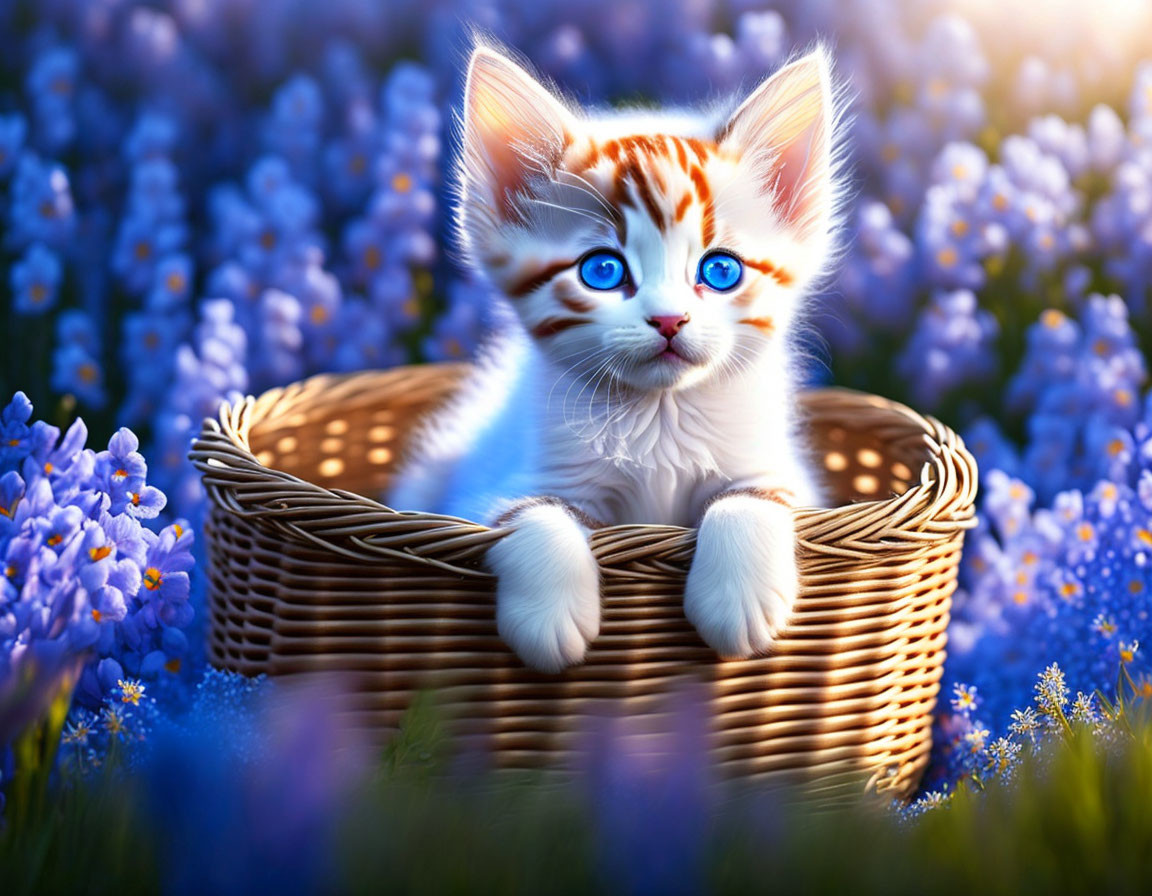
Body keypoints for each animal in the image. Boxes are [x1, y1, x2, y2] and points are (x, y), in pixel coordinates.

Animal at [391, 42, 843, 672]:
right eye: (602, 271)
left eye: (720, 270)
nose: (669, 320)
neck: (659, 416)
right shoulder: (486, 493)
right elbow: (529, 512)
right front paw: (548, 617)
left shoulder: (787, 476)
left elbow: (752, 497)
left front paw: (736, 599)